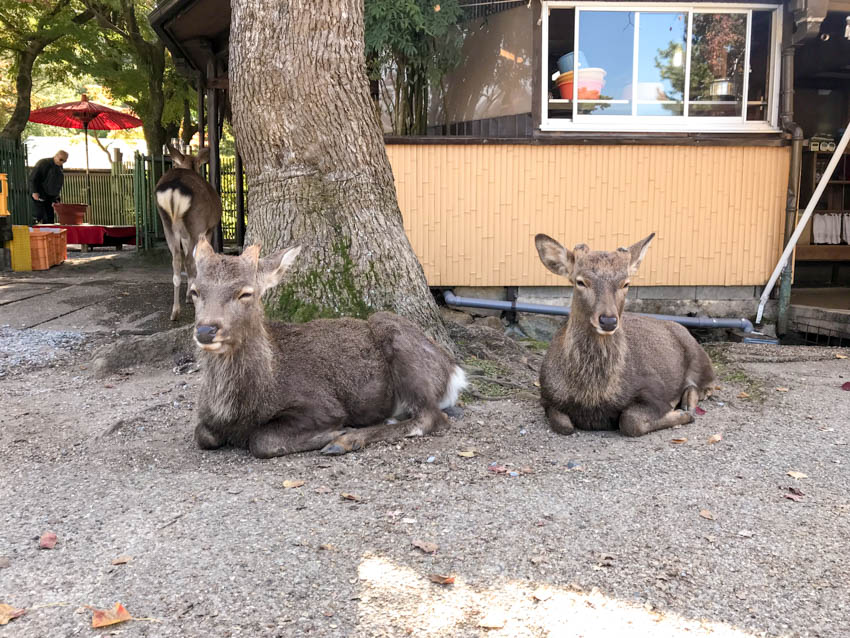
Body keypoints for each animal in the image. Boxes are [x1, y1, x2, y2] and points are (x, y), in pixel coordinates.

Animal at [154, 147, 222, 322]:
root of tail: (174, 187)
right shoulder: (209, 228)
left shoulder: (184, 235)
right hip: (196, 224)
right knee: (190, 261)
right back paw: (191, 301)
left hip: (167, 224)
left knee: (177, 261)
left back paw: (175, 311)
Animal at [190, 238, 468, 458]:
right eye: (194, 291)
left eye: (246, 293)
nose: (206, 330)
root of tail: (455, 372)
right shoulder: (206, 419)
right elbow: (202, 434)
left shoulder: (323, 406)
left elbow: (262, 440)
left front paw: (337, 433)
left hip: (397, 338)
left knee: (432, 417)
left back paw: (346, 441)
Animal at [532, 232, 712, 438]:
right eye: (580, 281)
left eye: (626, 283)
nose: (608, 320)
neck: (592, 397)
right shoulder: (547, 396)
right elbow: (563, 425)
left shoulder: (654, 390)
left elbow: (629, 421)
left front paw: (682, 415)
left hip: (699, 357)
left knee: (704, 384)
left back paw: (689, 404)